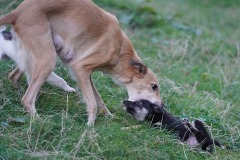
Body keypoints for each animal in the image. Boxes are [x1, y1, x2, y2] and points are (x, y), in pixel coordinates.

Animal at [0, 0, 161, 125]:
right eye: (154, 86)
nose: (161, 107)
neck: (120, 49)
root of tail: (17, 11)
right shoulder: (80, 68)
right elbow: (93, 103)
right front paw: (90, 127)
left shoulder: (85, 74)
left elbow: (98, 99)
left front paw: (109, 116)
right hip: (47, 60)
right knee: (27, 99)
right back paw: (39, 121)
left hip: (38, 55)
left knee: (14, 76)